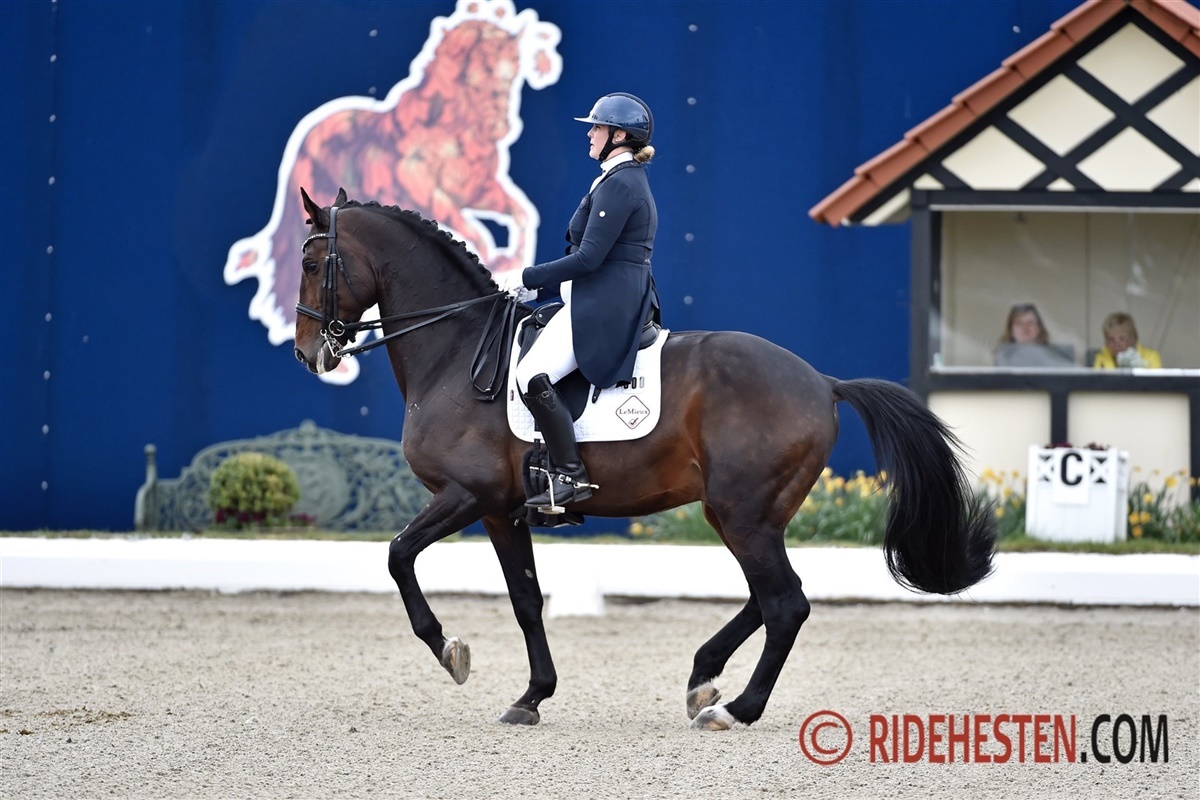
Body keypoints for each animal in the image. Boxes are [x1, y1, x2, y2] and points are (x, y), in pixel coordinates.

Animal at [292, 188, 997, 730]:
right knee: (770, 595)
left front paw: (450, 650)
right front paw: (531, 698)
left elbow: (397, 555)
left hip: (742, 513)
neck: (457, 353)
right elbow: (526, 598)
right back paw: (703, 676)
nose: (307, 353)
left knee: (785, 603)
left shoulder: (467, 495)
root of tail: (823, 382)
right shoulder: (501, 511)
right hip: (745, 513)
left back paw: (733, 710)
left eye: (311, 260)